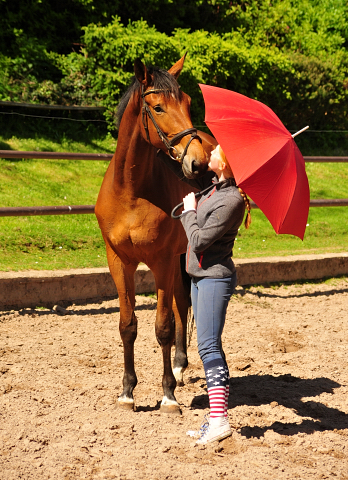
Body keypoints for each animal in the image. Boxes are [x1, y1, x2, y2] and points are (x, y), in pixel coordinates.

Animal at [94, 54, 216, 414]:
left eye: (187, 102)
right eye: (158, 107)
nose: (198, 162)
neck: (131, 192)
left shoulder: (161, 261)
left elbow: (163, 326)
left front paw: (168, 396)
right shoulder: (120, 262)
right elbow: (127, 325)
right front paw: (127, 392)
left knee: (183, 307)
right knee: (181, 303)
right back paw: (178, 365)